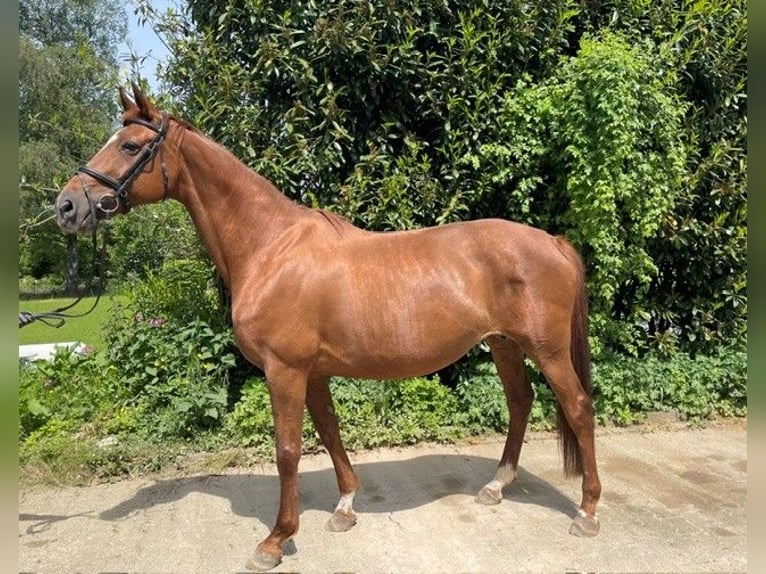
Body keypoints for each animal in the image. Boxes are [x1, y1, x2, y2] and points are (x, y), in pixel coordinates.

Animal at [56, 84, 601, 571]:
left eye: (129, 145)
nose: (66, 206)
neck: (271, 247)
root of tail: (553, 242)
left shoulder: (285, 371)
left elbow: (288, 451)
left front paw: (276, 540)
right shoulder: (312, 372)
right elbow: (330, 431)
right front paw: (344, 508)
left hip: (547, 349)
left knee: (577, 408)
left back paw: (588, 511)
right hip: (504, 345)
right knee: (521, 402)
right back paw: (496, 486)